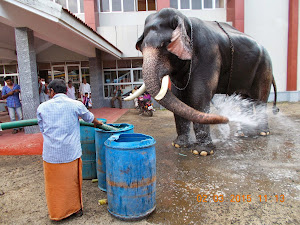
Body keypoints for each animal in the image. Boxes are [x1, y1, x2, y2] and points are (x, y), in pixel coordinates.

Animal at [125, 8, 278, 155]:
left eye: (164, 45)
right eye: (142, 48)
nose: (227, 119)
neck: (185, 21)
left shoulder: (208, 53)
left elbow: (198, 97)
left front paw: (202, 152)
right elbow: (179, 97)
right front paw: (179, 145)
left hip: (264, 68)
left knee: (259, 100)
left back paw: (263, 132)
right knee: (244, 100)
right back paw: (243, 133)